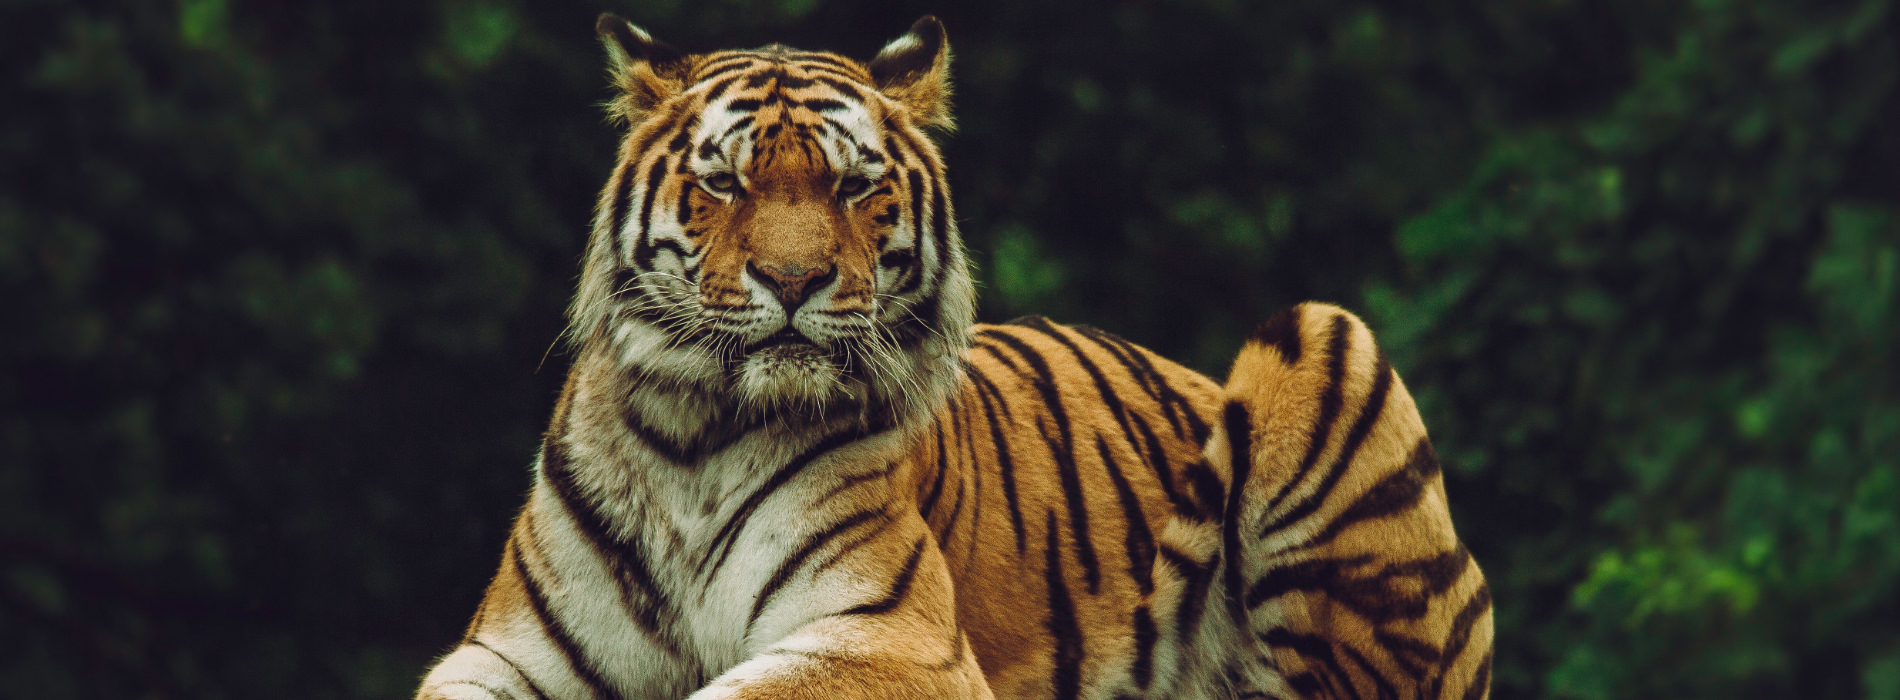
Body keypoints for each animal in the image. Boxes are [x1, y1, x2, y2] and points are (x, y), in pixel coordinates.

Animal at [415, 13, 1493, 700]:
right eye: (724, 182)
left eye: (853, 186)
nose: (793, 280)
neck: (695, 435)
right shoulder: (505, 655)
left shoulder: (890, 636)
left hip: (1322, 334)